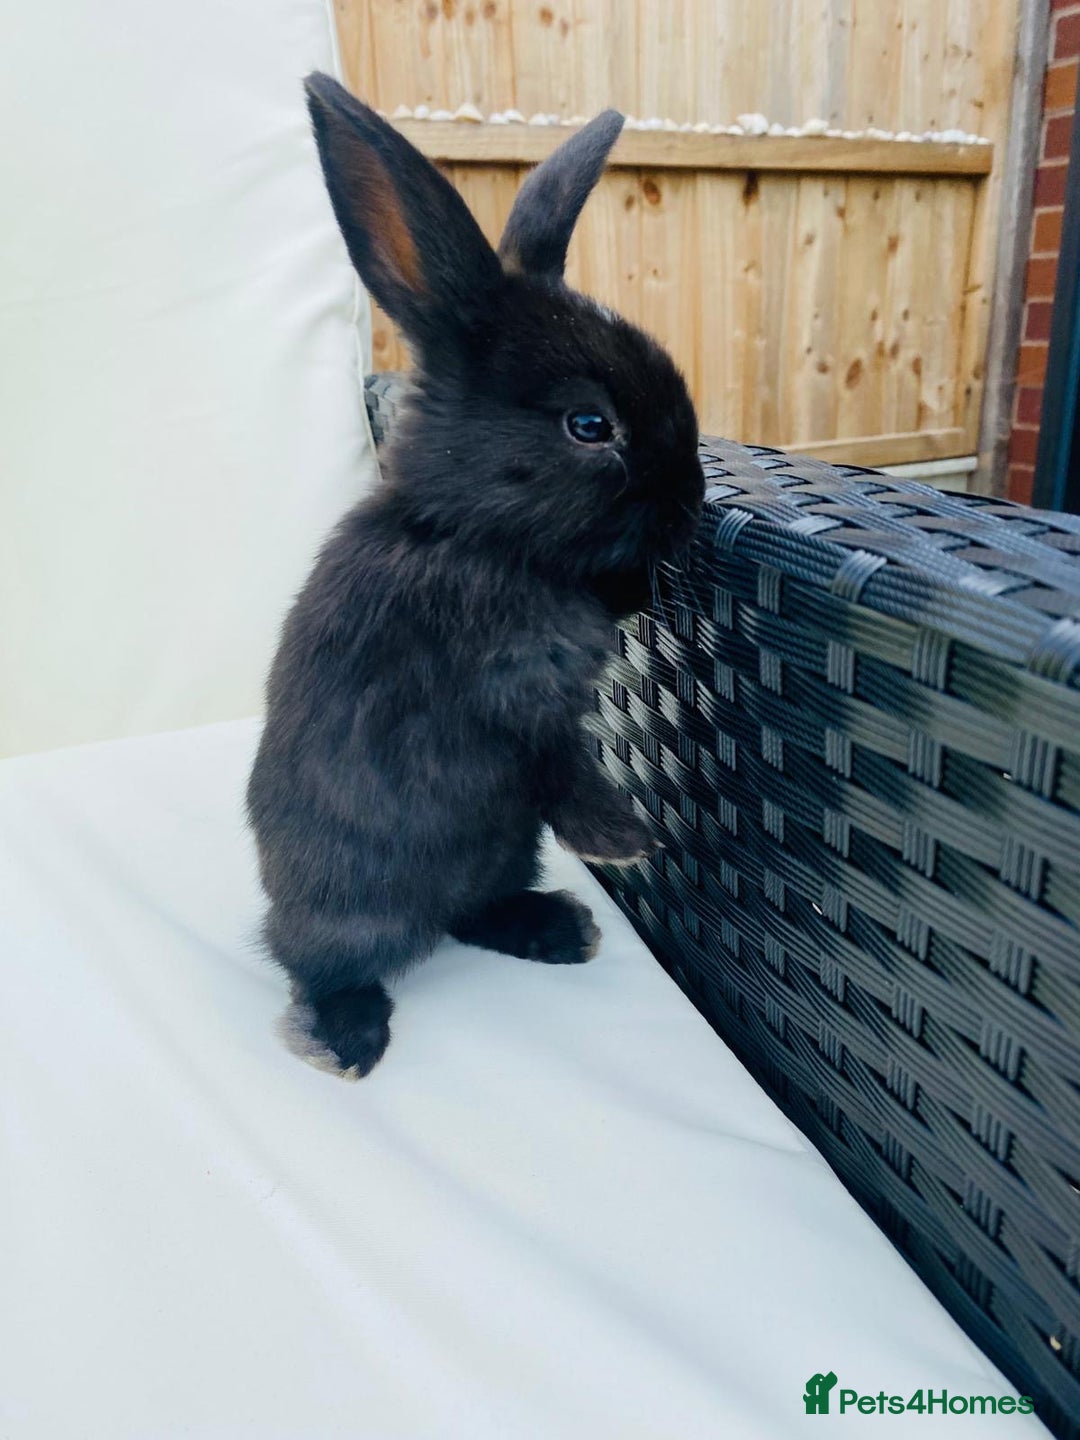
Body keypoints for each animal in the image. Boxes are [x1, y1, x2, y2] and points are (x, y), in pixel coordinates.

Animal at [246, 73, 704, 1078]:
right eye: (589, 426)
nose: (691, 501)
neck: (473, 536)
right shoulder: (511, 701)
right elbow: (558, 764)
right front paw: (627, 842)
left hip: (502, 853)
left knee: (470, 913)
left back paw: (557, 929)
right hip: (348, 902)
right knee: (317, 960)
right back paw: (347, 1038)